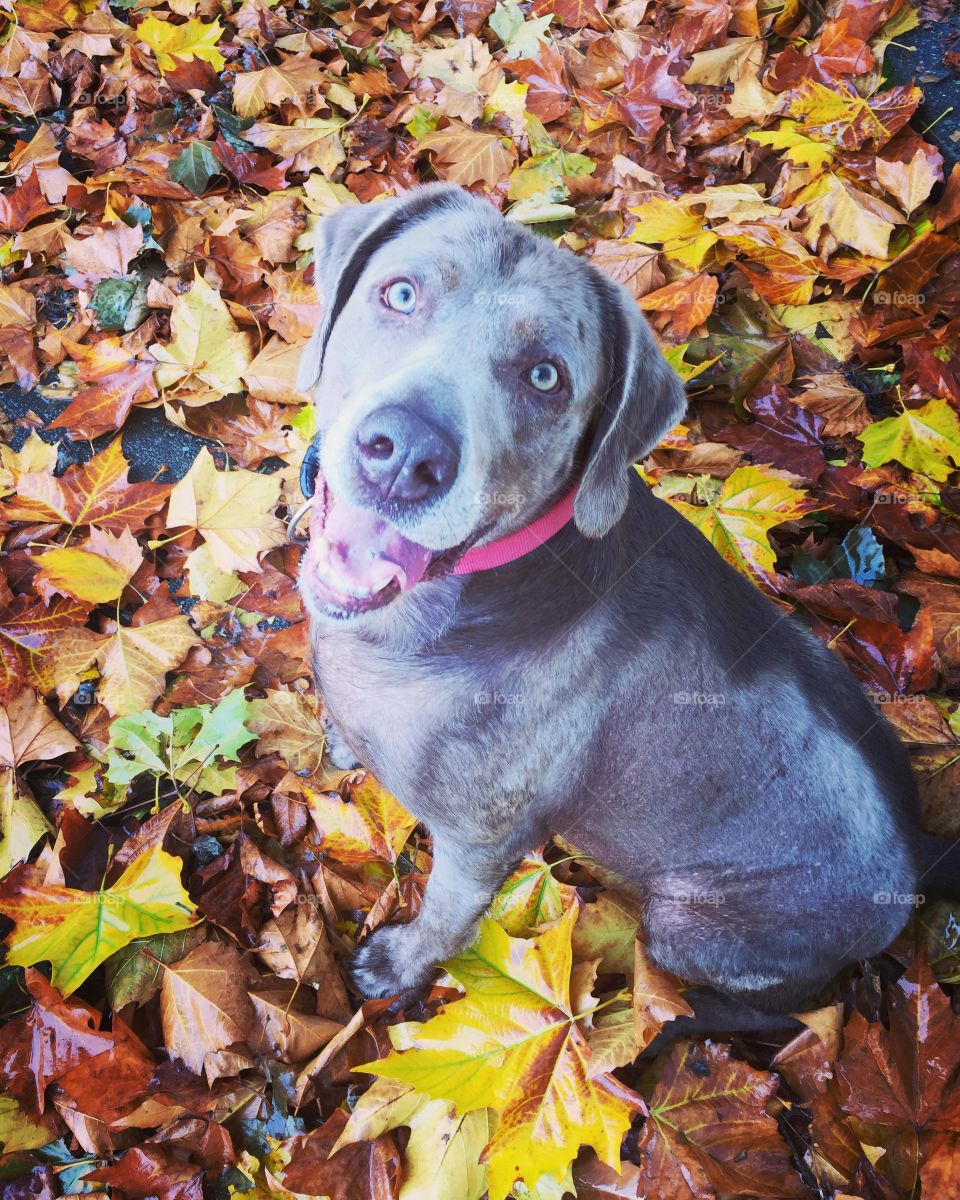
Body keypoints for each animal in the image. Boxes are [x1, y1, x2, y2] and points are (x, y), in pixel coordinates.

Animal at [296, 182, 940, 1036]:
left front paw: (399, 965)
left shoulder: (478, 845)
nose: (405, 452)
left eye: (546, 377)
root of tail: (919, 859)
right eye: (400, 294)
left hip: (693, 921)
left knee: (771, 1013)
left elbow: (443, 917)